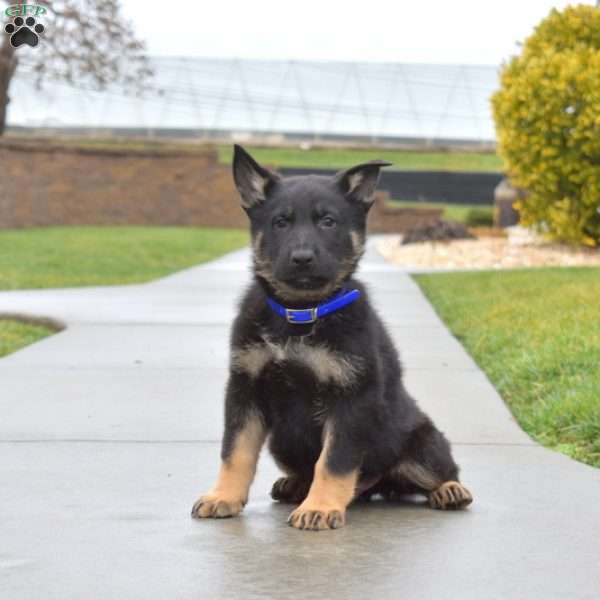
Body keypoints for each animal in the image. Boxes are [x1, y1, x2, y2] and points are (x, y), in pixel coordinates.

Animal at [192, 145, 474, 528]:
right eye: (280, 222)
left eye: (328, 221)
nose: (302, 258)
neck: (301, 314)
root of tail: (380, 486)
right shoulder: (245, 389)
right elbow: (235, 451)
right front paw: (223, 496)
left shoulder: (351, 398)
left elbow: (334, 460)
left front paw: (321, 507)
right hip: (282, 442)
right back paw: (295, 484)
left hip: (420, 442)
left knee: (440, 469)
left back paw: (449, 489)